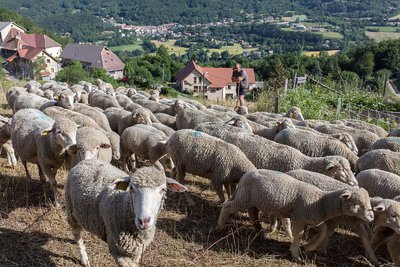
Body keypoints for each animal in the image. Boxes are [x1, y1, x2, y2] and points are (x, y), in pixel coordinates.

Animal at [217, 171, 374, 260]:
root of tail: (245, 175)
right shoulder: (299, 218)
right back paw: (220, 226)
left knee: (252, 213)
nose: (372, 217)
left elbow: (323, 231)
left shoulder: (312, 219)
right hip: (244, 198)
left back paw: (259, 230)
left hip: (252, 199)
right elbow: (298, 235)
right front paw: (295, 254)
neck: (321, 202)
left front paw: (309, 247)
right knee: (227, 206)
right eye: (358, 203)